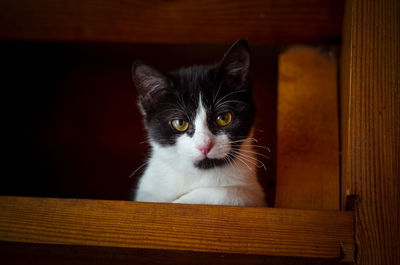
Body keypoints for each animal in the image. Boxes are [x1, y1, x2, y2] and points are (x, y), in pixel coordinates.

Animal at [131, 39, 268, 205]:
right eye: (180, 123)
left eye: (223, 118)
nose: (204, 146)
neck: (197, 175)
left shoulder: (254, 195)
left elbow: (227, 193)